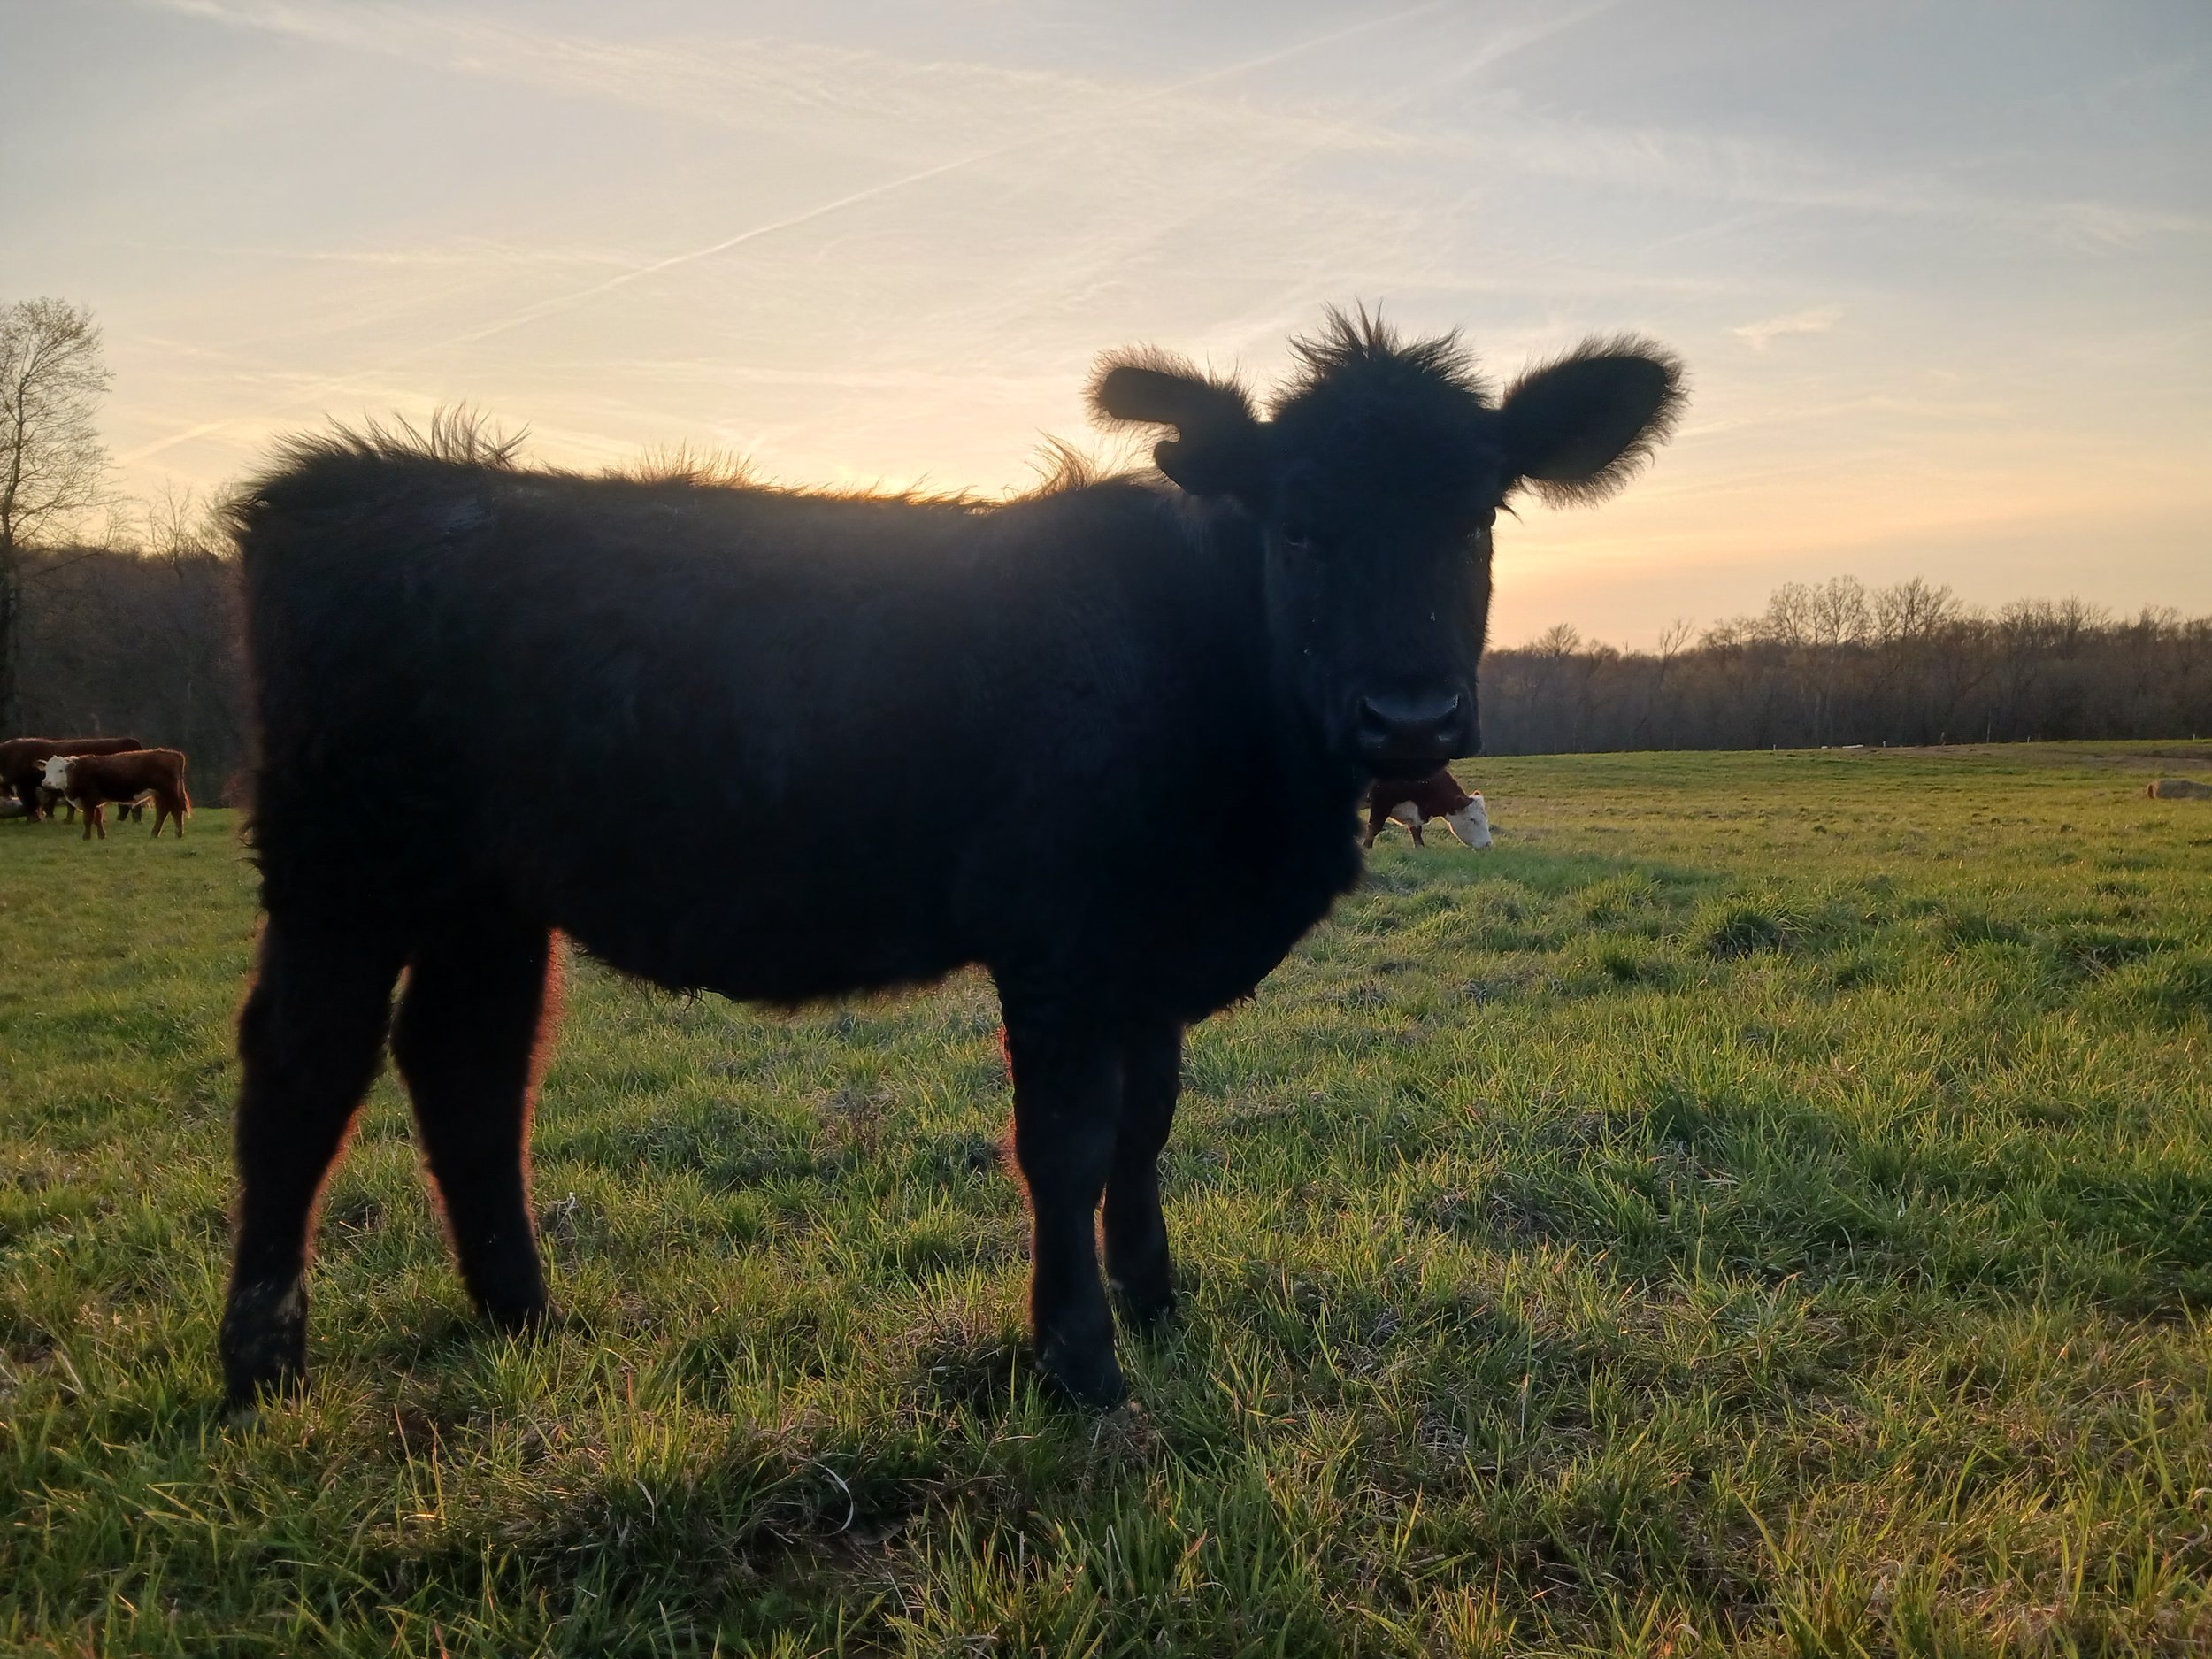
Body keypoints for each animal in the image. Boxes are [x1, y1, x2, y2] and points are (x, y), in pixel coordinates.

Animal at [41, 749, 191, 839]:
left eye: (61, 770)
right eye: (46, 770)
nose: (46, 782)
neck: (78, 772)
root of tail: (173, 754)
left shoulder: (89, 800)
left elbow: (88, 819)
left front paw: (86, 838)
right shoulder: (97, 801)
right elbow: (98, 819)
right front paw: (101, 836)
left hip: (169, 792)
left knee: (176, 811)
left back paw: (178, 834)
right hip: (160, 794)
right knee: (163, 812)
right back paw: (155, 834)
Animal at [1365, 769, 1491, 849]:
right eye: (1472, 819)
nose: (1488, 843)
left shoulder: (1414, 816)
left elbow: (1417, 834)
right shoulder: (1381, 803)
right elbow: (1374, 829)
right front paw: (1367, 848)